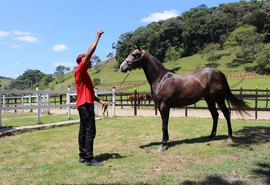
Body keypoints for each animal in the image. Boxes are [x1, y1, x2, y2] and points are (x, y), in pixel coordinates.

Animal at [119, 45, 250, 152]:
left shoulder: (164, 106)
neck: (161, 79)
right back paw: (211, 136)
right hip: (209, 99)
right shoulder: (161, 107)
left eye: (134, 54)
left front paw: (162, 144)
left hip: (219, 98)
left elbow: (164, 125)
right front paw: (166, 140)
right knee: (215, 115)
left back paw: (229, 137)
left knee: (226, 114)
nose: (122, 67)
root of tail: (219, 72)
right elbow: (165, 123)